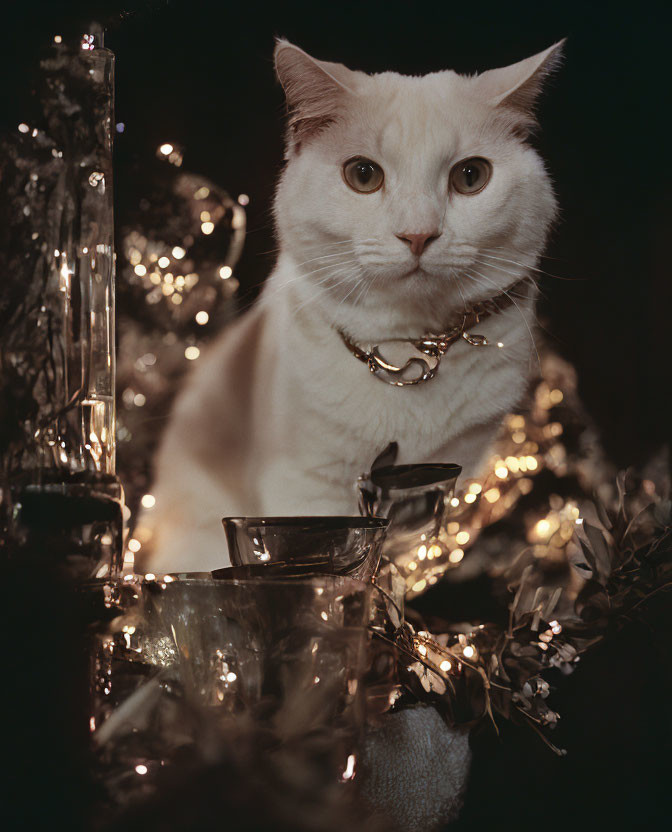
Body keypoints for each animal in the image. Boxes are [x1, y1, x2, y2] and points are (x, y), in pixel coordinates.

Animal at [147, 39, 560, 572]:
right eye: (363, 175)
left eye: (471, 176)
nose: (418, 234)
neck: (410, 352)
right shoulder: (305, 485)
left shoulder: (457, 470)